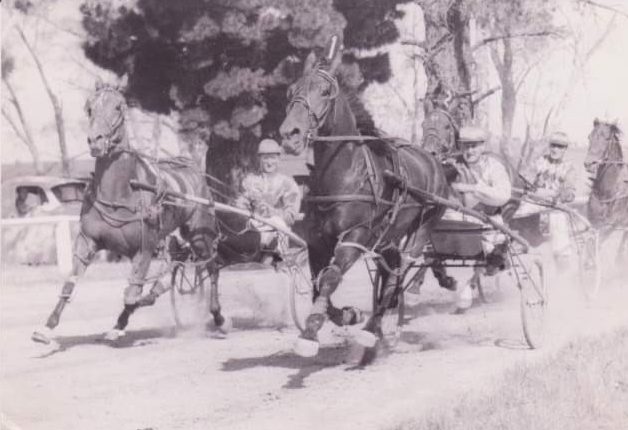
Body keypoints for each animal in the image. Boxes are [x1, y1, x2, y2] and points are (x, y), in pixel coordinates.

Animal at [31, 83, 224, 346]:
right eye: (89, 108)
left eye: (118, 107)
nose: (96, 140)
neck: (120, 193)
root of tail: (191, 167)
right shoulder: (88, 241)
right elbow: (71, 283)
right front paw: (47, 327)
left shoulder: (144, 247)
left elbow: (134, 293)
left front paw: (137, 306)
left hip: (200, 233)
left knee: (212, 266)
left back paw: (218, 317)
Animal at [278, 43, 446, 362]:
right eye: (291, 89)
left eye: (324, 91)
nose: (289, 133)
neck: (344, 174)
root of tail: (433, 161)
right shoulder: (317, 242)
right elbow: (318, 285)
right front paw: (346, 314)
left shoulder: (354, 238)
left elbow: (330, 278)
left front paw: (310, 332)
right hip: (389, 237)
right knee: (390, 269)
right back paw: (375, 328)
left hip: (423, 227)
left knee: (397, 275)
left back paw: (372, 329)